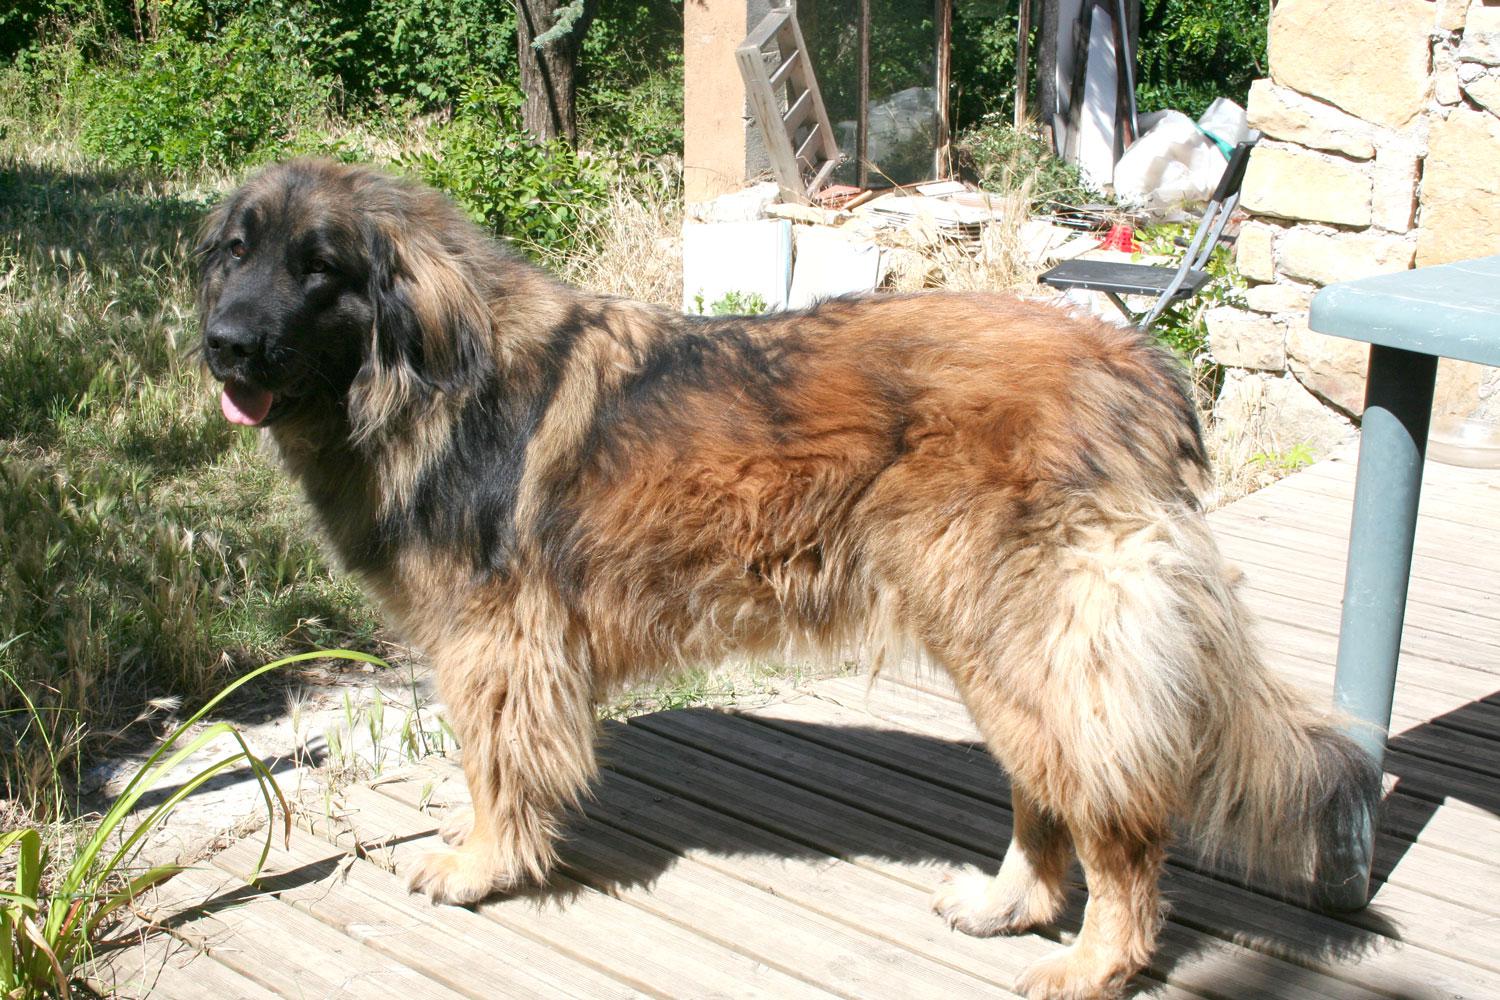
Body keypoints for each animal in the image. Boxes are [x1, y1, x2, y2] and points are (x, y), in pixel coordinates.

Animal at [197, 159, 1378, 999]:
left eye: (319, 267)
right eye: (236, 253)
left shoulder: (498, 642)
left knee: (1116, 817)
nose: (223, 344)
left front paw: (481, 865)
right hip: (999, 641)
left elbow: (495, 767)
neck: (427, 372)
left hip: (1032, 635)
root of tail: (1141, 367)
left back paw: (1095, 962)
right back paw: (1009, 906)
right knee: (1049, 793)